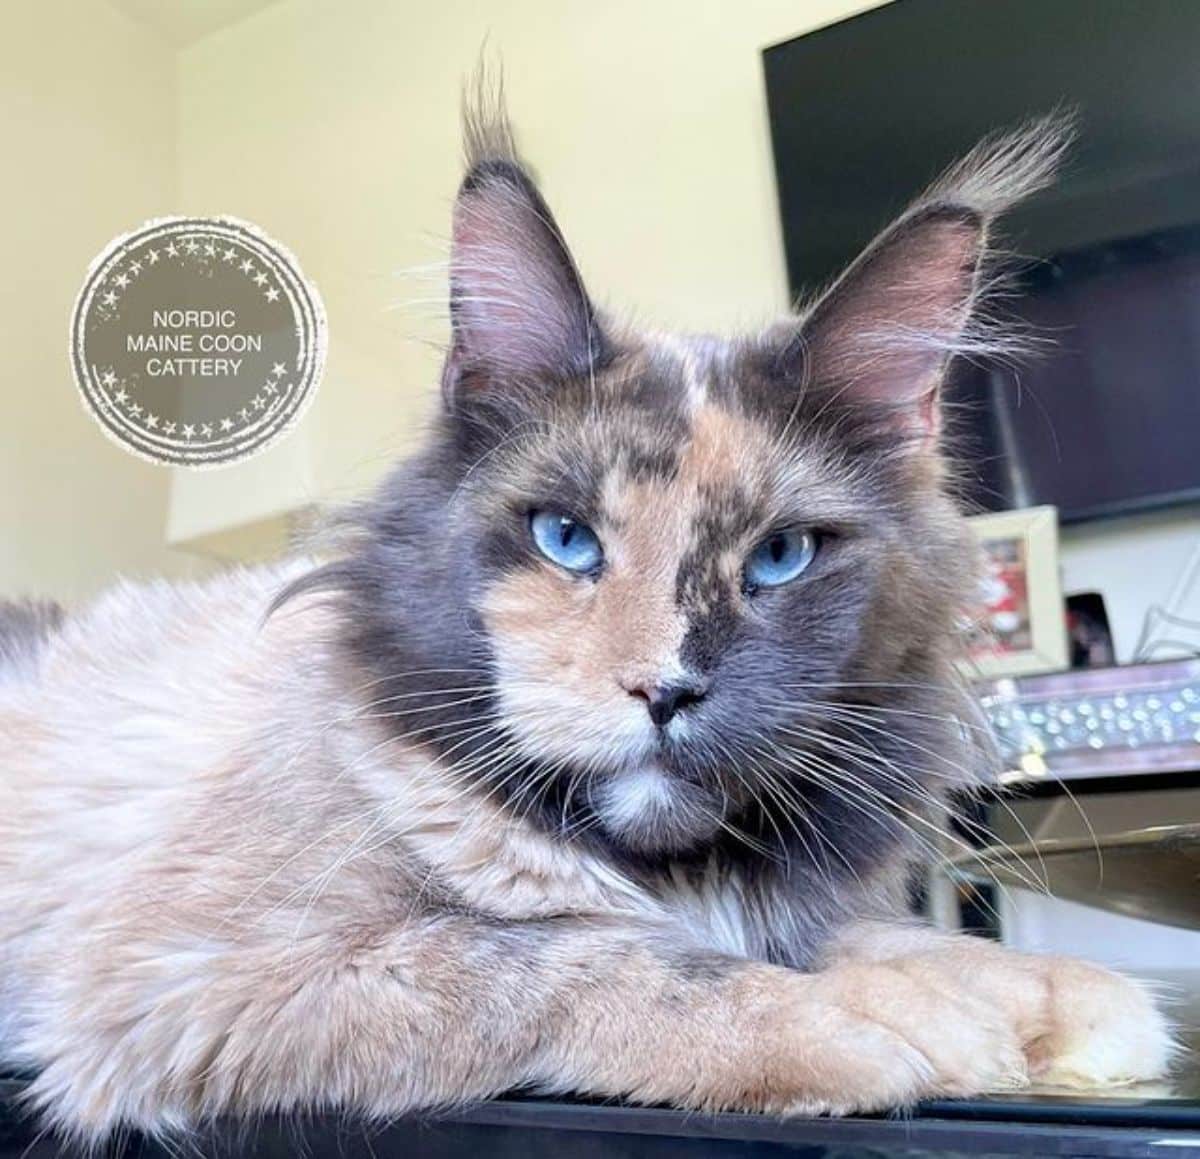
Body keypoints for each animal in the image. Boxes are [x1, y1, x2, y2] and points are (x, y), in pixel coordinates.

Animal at [0, 90, 1171, 1142]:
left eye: (780, 556)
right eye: (566, 538)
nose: (665, 689)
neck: (672, 872)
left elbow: (884, 938)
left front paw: (1064, 994)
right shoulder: (203, 970)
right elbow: (602, 957)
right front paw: (879, 1025)